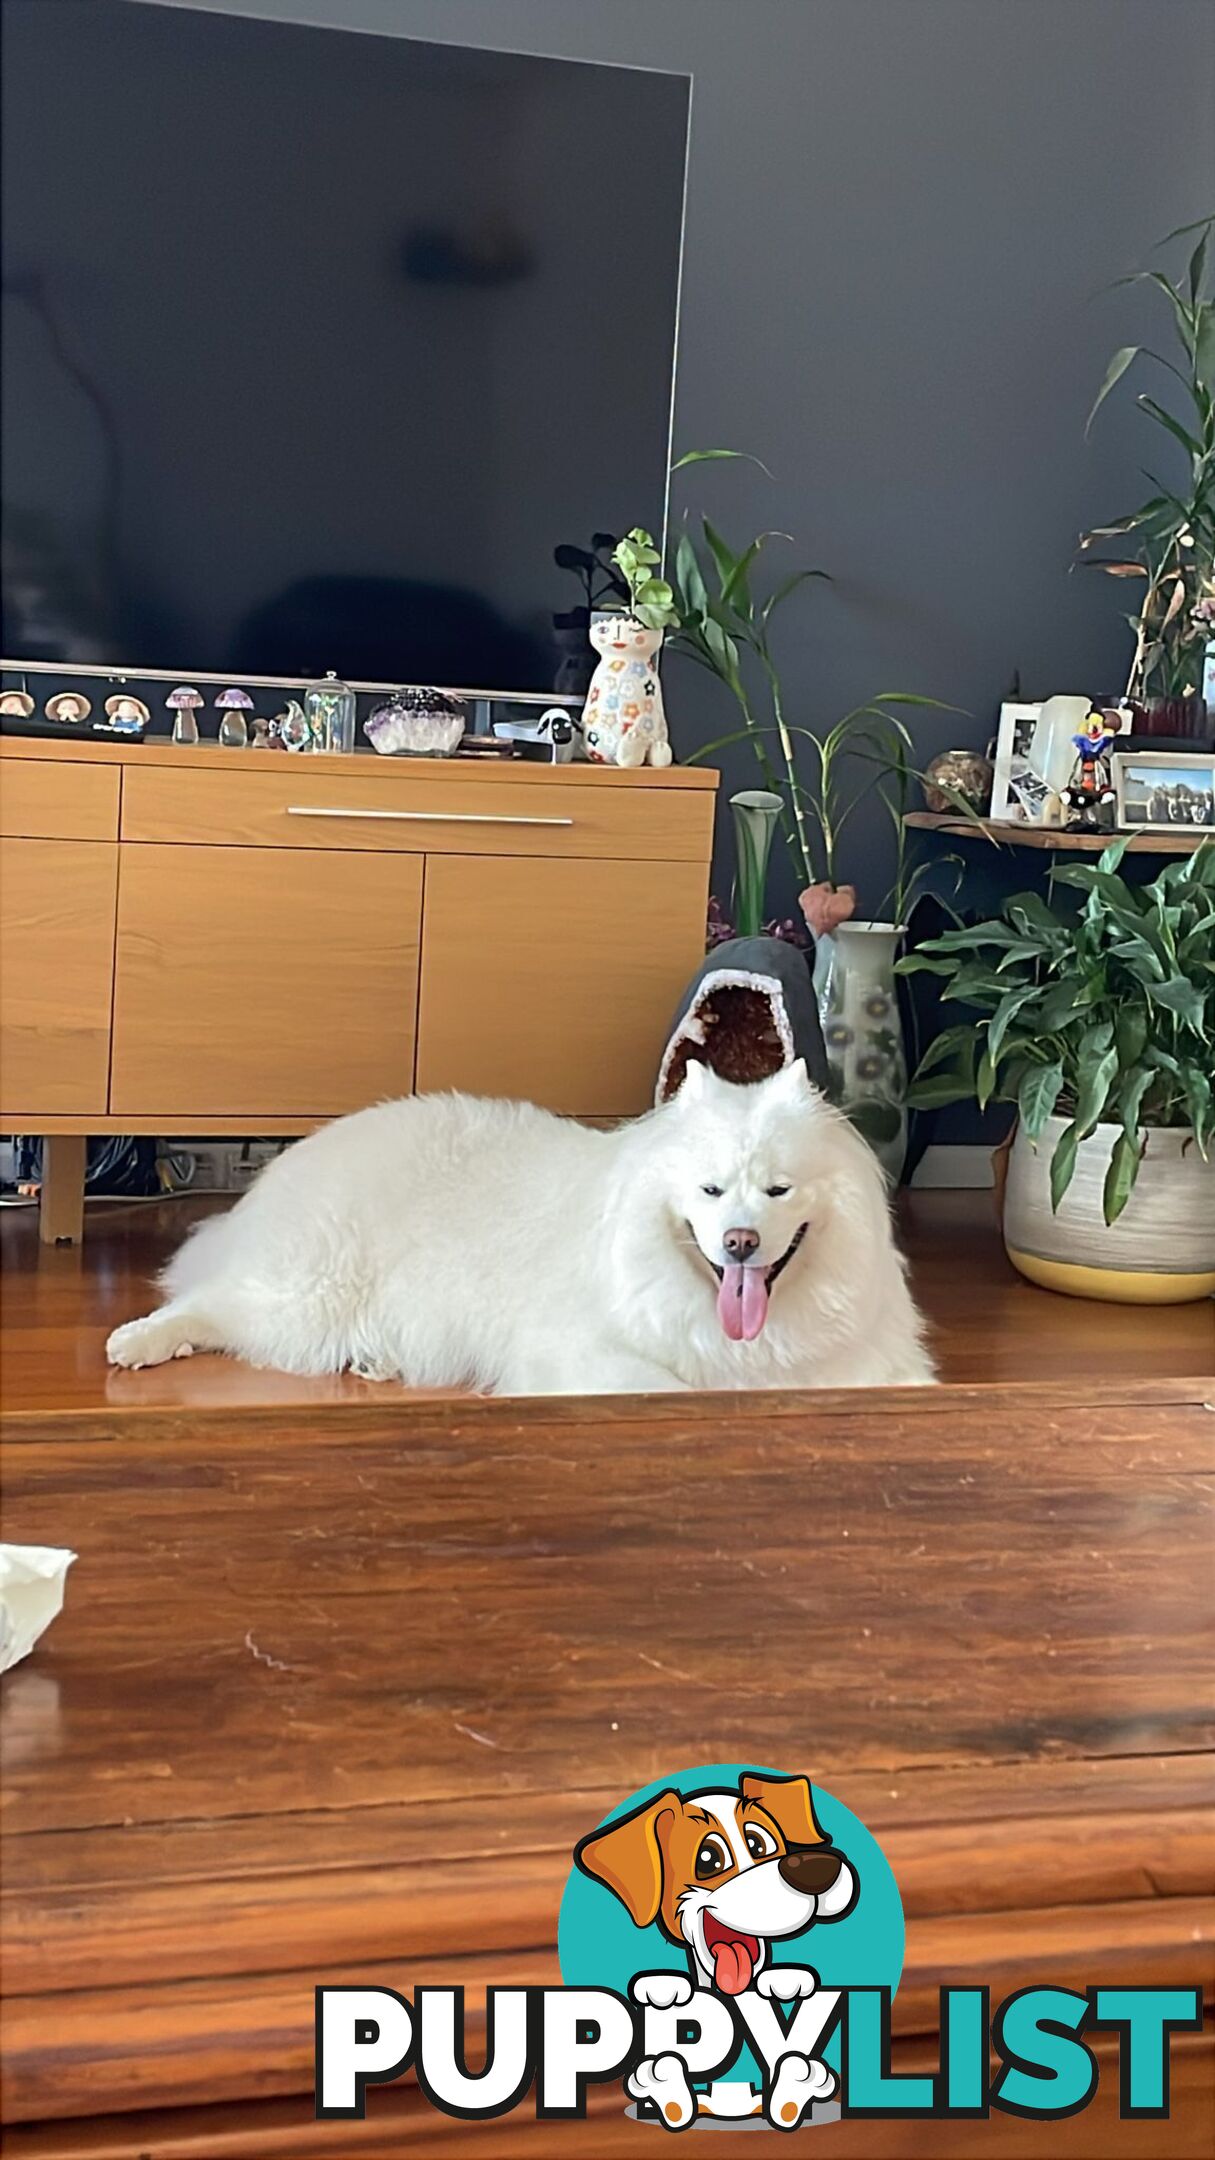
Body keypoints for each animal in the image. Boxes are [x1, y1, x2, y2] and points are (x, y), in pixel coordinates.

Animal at [108, 1067, 929, 1399]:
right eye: (711, 1191)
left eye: (777, 1190)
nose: (739, 1243)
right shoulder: (582, 1349)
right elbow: (660, 1386)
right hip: (307, 1299)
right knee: (210, 1303)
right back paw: (137, 1342)